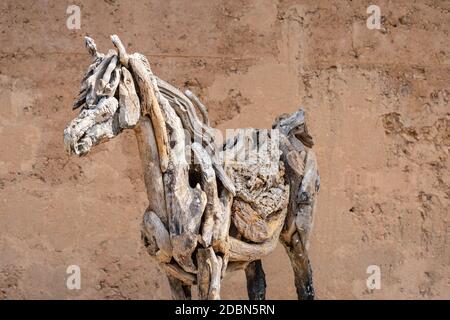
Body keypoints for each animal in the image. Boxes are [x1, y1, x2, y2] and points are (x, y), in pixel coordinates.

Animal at [63, 35, 320, 300]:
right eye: (83, 96)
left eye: (108, 91)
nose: (72, 137)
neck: (182, 196)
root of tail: (285, 131)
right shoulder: (172, 270)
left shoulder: (211, 262)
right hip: (251, 249)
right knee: (257, 282)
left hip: (296, 234)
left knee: (305, 281)